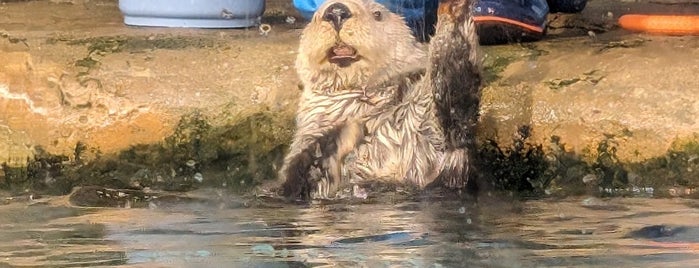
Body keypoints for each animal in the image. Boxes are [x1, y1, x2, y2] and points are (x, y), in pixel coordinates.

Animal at [278, 0, 482, 201]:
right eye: (315, 16)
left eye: (377, 14)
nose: (336, 11)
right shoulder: (306, 142)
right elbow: (298, 174)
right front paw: (343, 135)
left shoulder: (422, 124)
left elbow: (450, 111)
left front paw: (454, 10)